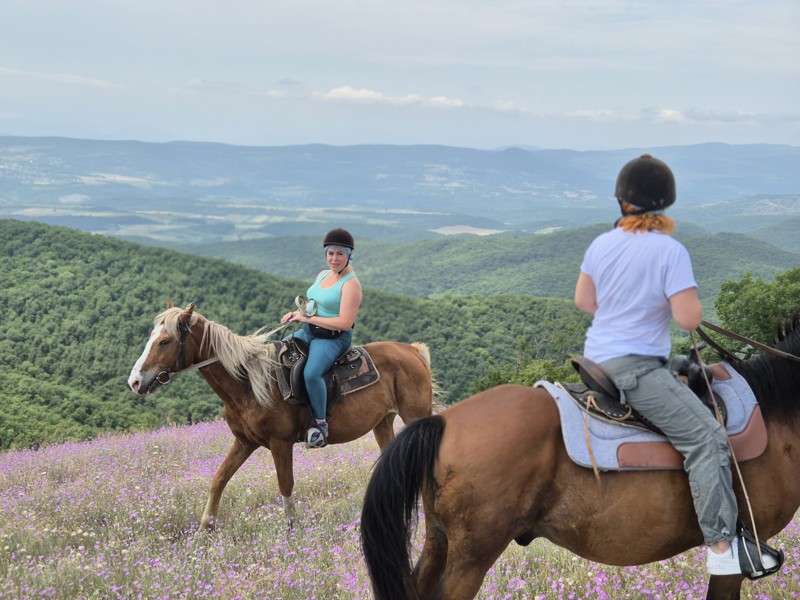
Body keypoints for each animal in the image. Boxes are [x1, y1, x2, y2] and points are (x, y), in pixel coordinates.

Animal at [127, 304, 434, 528]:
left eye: (165, 341)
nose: (135, 382)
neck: (249, 384)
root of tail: (412, 351)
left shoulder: (280, 443)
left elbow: (285, 484)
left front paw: (290, 527)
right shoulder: (244, 442)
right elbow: (218, 479)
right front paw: (206, 526)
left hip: (414, 415)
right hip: (383, 422)